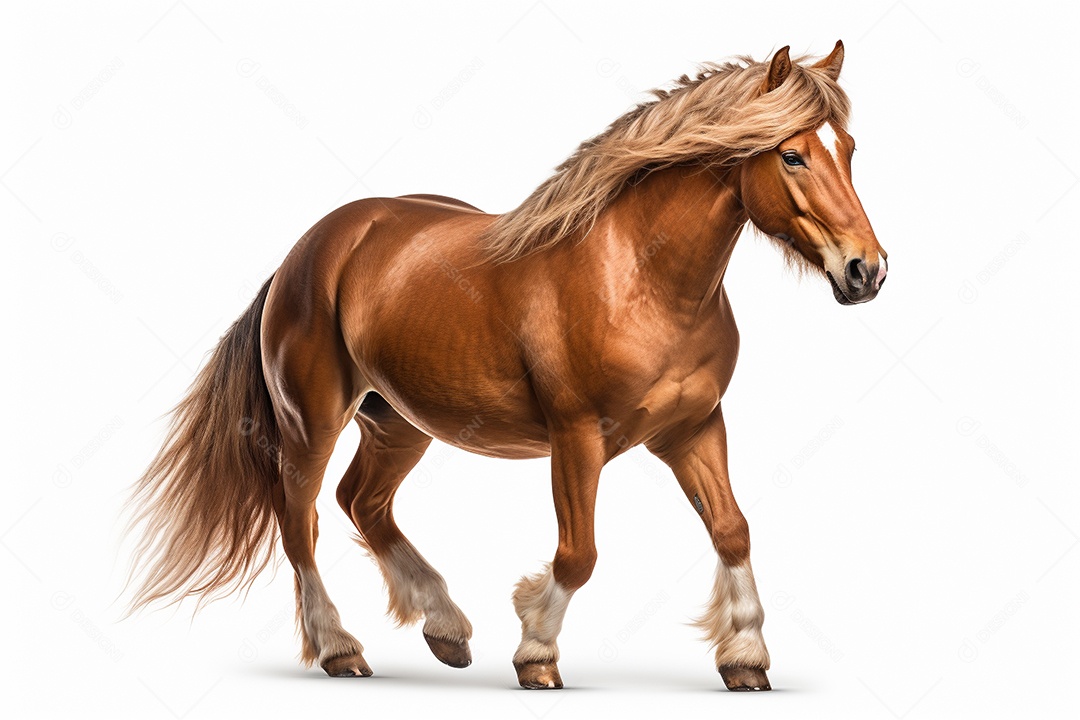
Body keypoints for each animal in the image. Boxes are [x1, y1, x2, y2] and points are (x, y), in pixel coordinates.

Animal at [128, 41, 887, 691]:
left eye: (847, 149)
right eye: (791, 155)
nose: (867, 270)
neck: (638, 277)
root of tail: (310, 248)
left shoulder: (693, 428)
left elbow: (733, 529)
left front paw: (746, 659)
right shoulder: (577, 438)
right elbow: (578, 553)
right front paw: (535, 650)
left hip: (398, 422)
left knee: (361, 501)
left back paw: (445, 628)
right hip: (311, 419)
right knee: (301, 520)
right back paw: (341, 649)